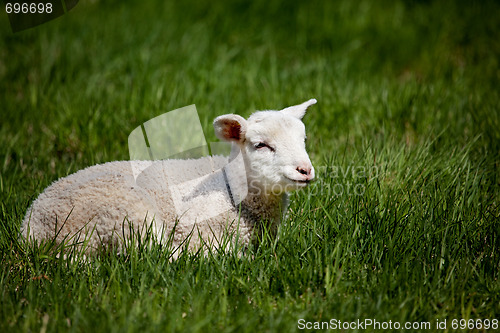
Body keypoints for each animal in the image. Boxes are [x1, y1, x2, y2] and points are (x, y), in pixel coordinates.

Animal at [21, 98, 316, 254]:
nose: (305, 170)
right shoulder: (200, 233)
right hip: (125, 218)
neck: (231, 191)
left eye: (303, 139)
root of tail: (32, 228)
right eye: (261, 145)